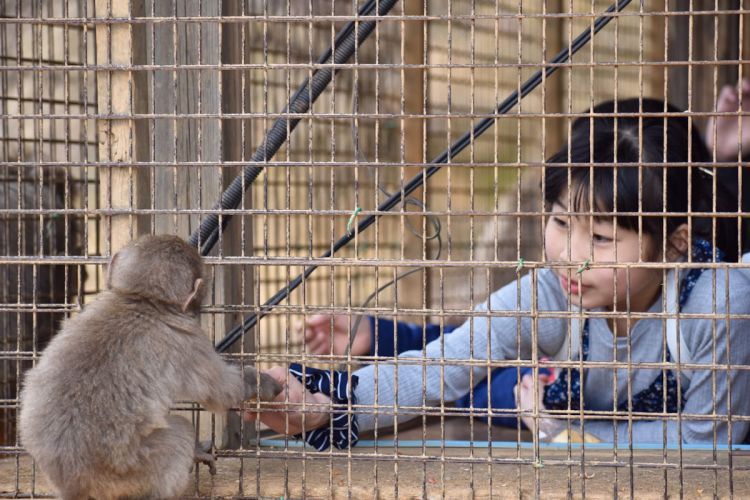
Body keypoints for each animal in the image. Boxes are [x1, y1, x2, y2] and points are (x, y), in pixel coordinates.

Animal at [21, 234, 284, 500]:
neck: (142, 301)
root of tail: (74, 484)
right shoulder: (188, 342)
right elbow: (224, 391)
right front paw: (264, 383)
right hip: (133, 472)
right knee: (180, 433)